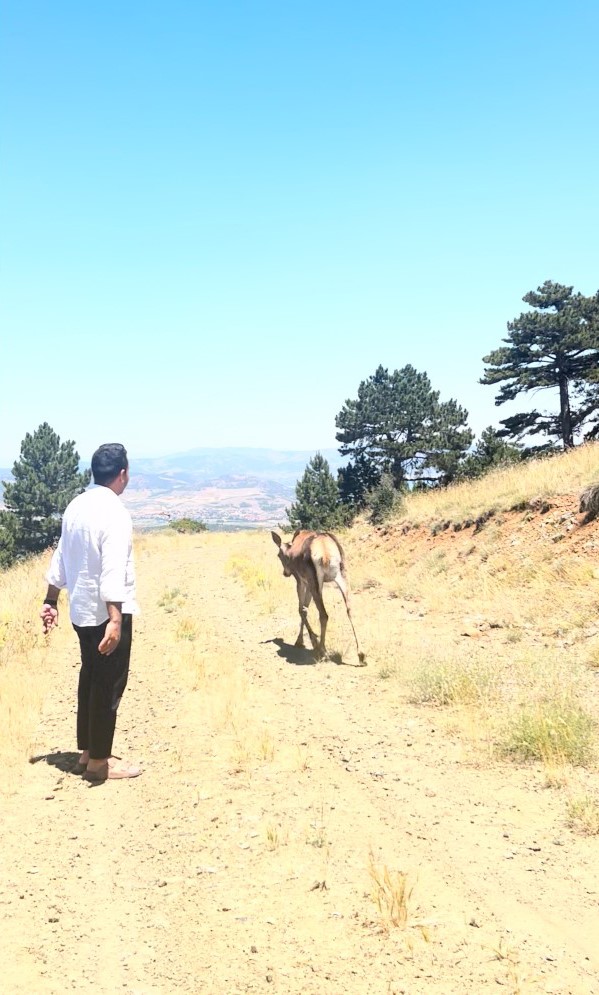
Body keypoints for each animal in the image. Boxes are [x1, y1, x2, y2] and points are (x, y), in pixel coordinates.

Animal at [272, 532, 366, 664]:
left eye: (279, 555)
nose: (286, 573)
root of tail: (325, 551)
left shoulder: (301, 581)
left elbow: (301, 609)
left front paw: (307, 642)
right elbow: (305, 609)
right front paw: (302, 641)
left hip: (316, 583)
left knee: (324, 614)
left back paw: (322, 651)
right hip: (342, 577)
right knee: (350, 610)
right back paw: (361, 654)